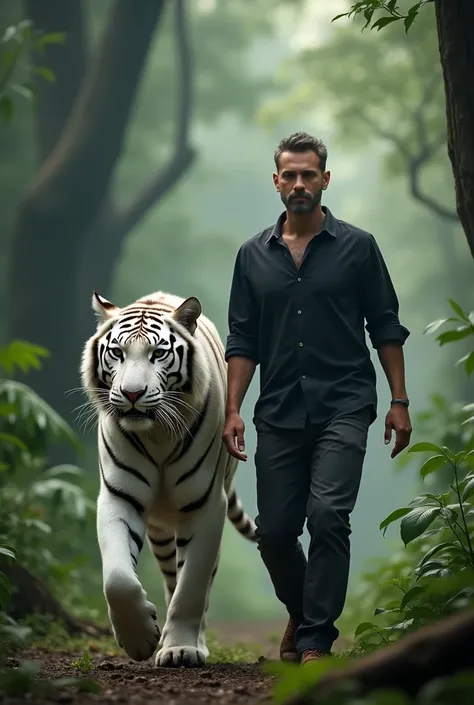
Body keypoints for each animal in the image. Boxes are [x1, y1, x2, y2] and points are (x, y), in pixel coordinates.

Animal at [80, 290, 258, 664]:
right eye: (117, 352)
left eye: (158, 353)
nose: (132, 394)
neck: (157, 433)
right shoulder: (119, 496)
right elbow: (118, 578)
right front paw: (140, 638)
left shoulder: (206, 505)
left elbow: (192, 586)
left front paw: (180, 648)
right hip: (160, 531)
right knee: (169, 575)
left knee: (199, 583)